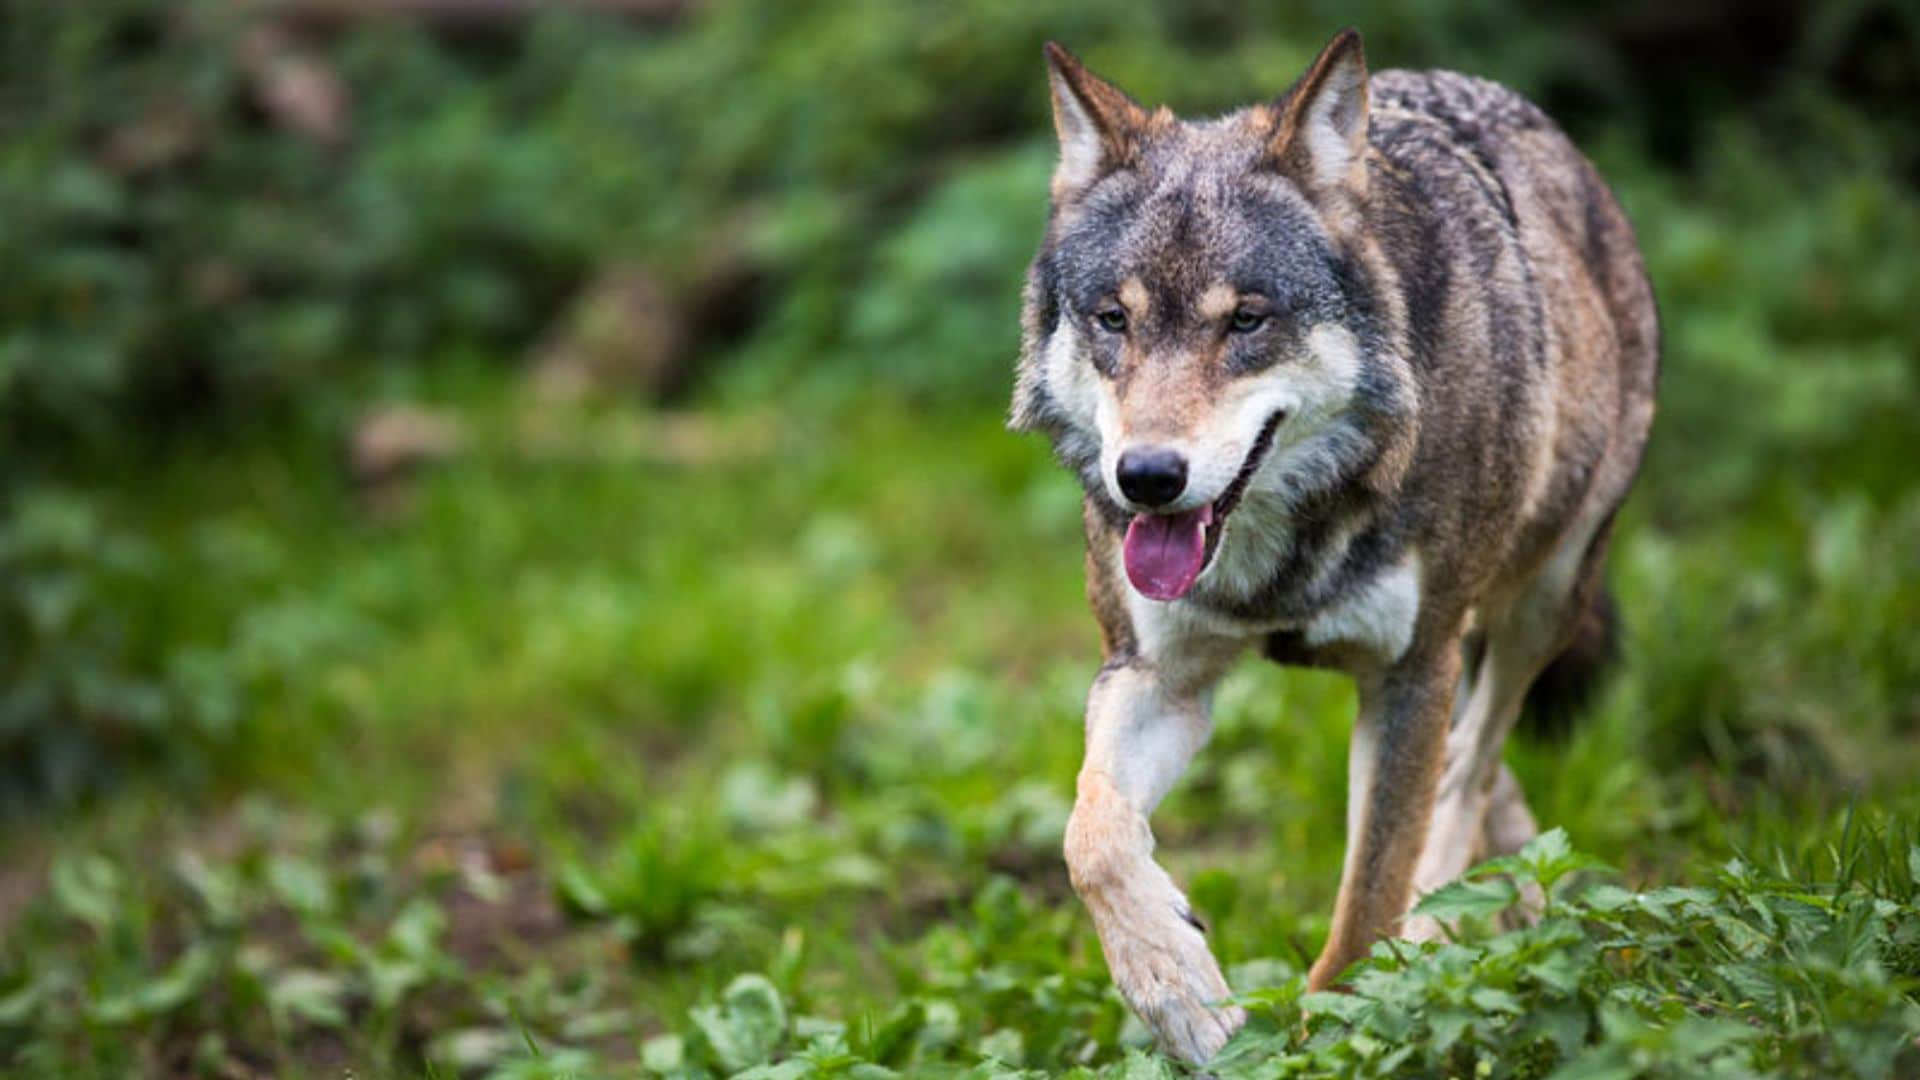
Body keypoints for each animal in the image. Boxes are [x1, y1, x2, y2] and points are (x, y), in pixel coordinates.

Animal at [1013, 27, 1658, 1060]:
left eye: (1247, 319)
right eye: (1114, 319)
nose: (1145, 477)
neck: (1281, 557)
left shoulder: (1411, 672)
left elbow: (1368, 901)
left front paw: (1349, 1026)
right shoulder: (1155, 676)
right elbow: (1092, 836)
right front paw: (1178, 990)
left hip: (1541, 602)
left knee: (1470, 766)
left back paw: (1450, 928)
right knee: (1483, 782)